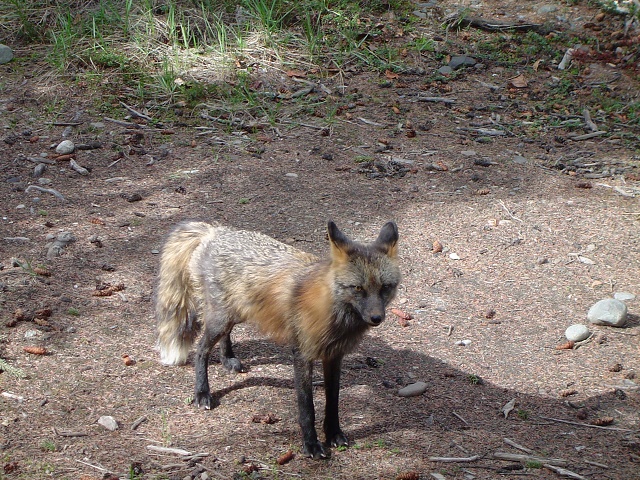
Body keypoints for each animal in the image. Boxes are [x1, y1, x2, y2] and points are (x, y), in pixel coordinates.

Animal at [155, 220, 400, 458]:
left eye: (385, 287)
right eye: (358, 288)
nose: (377, 318)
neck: (333, 315)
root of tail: (214, 231)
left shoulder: (333, 356)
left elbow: (333, 402)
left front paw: (333, 434)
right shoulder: (302, 354)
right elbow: (307, 408)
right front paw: (311, 445)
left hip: (235, 313)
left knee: (223, 337)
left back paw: (228, 359)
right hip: (220, 319)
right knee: (201, 350)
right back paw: (202, 393)